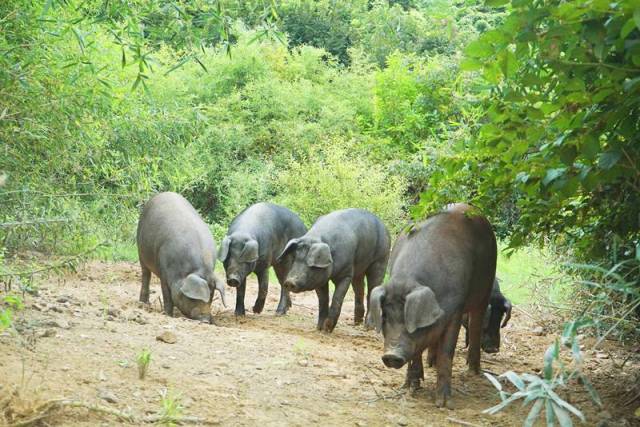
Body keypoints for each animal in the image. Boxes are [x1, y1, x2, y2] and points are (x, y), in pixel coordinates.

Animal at [135, 192, 225, 322]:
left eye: (211, 296)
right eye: (192, 298)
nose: (206, 320)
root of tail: (164, 193)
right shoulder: (164, 272)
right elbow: (167, 295)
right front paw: (168, 315)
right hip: (140, 250)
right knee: (146, 275)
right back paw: (143, 303)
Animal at [368, 204, 498, 408]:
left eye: (407, 319)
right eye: (385, 317)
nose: (391, 355)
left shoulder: (456, 310)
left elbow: (447, 351)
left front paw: (443, 404)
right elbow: (417, 349)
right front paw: (410, 387)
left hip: (486, 286)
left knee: (476, 325)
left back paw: (473, 372)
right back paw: (430, 365)